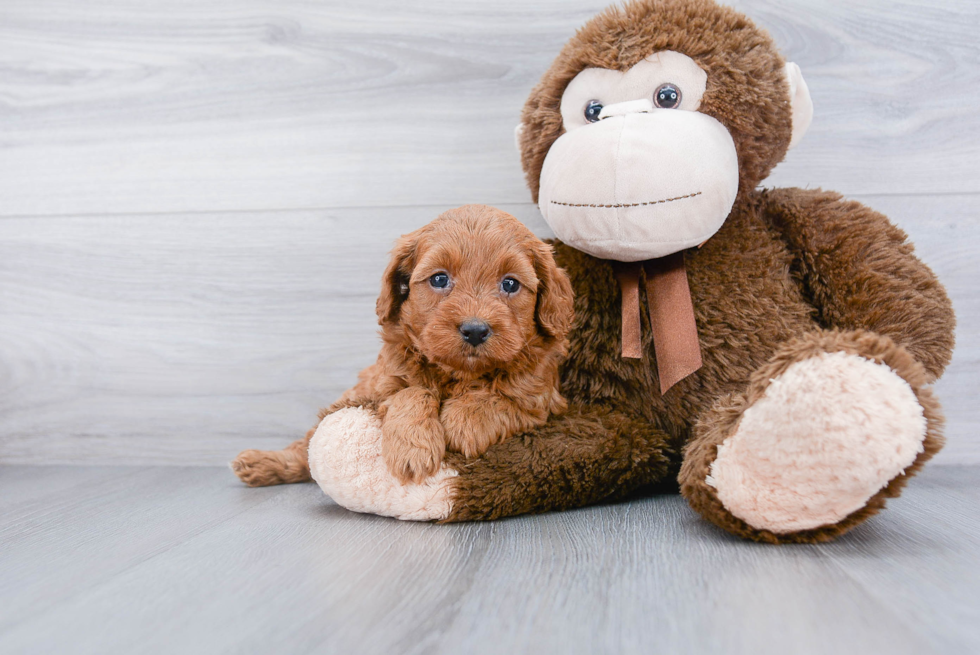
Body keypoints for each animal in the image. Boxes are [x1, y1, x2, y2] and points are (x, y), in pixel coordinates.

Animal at [234, 205, 576, 486]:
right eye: (439, 279)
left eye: (510, 284)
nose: (475, 330)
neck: (459, 373)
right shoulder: (380, 388)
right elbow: (411, 392)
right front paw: (413, 450)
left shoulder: (541, 401)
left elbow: (502, 400)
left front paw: (462, 420)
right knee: (304, 445)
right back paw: (263, 463)